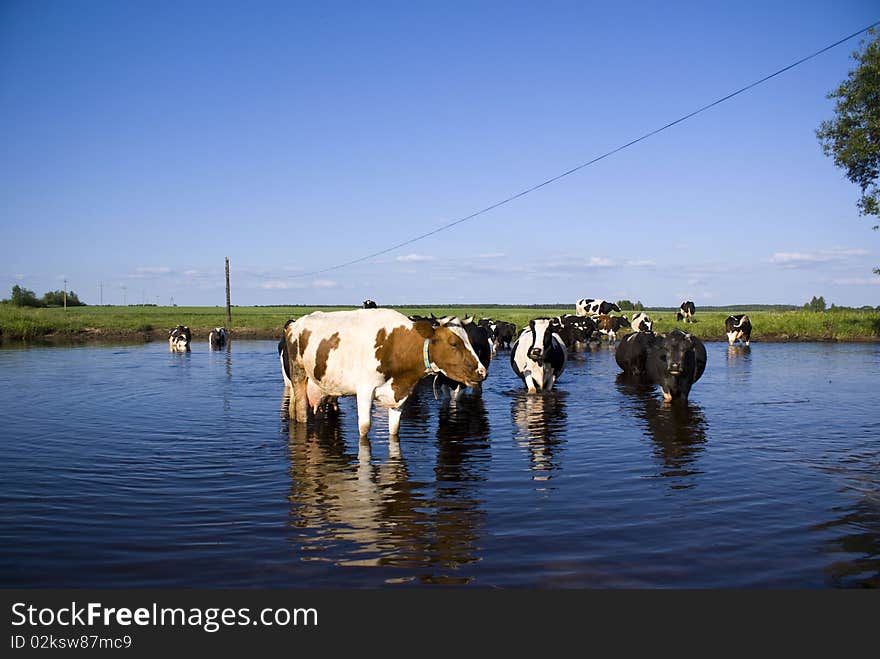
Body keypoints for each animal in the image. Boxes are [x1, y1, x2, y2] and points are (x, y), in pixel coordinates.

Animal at [284, 310, 484, 438]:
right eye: (453, 343)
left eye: (469, 340)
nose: (481, 372)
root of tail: (294, 324)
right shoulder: (364, 390)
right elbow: (365, 428)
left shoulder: (400, 394)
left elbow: (394, 430)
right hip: (298, 375)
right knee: (301, 411)